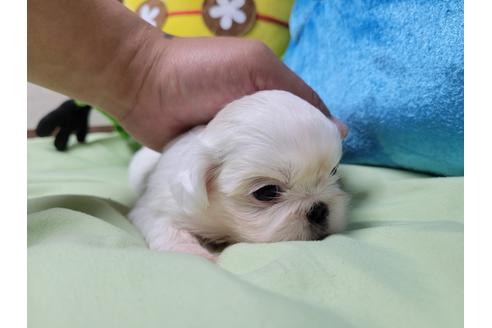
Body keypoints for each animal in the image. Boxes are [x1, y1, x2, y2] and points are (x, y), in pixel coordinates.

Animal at [129, 91, 348, 260]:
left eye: (333, 171)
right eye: (267, 192)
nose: (319, 210)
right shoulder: (155, 208)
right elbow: (167, 228)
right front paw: (195, 253)